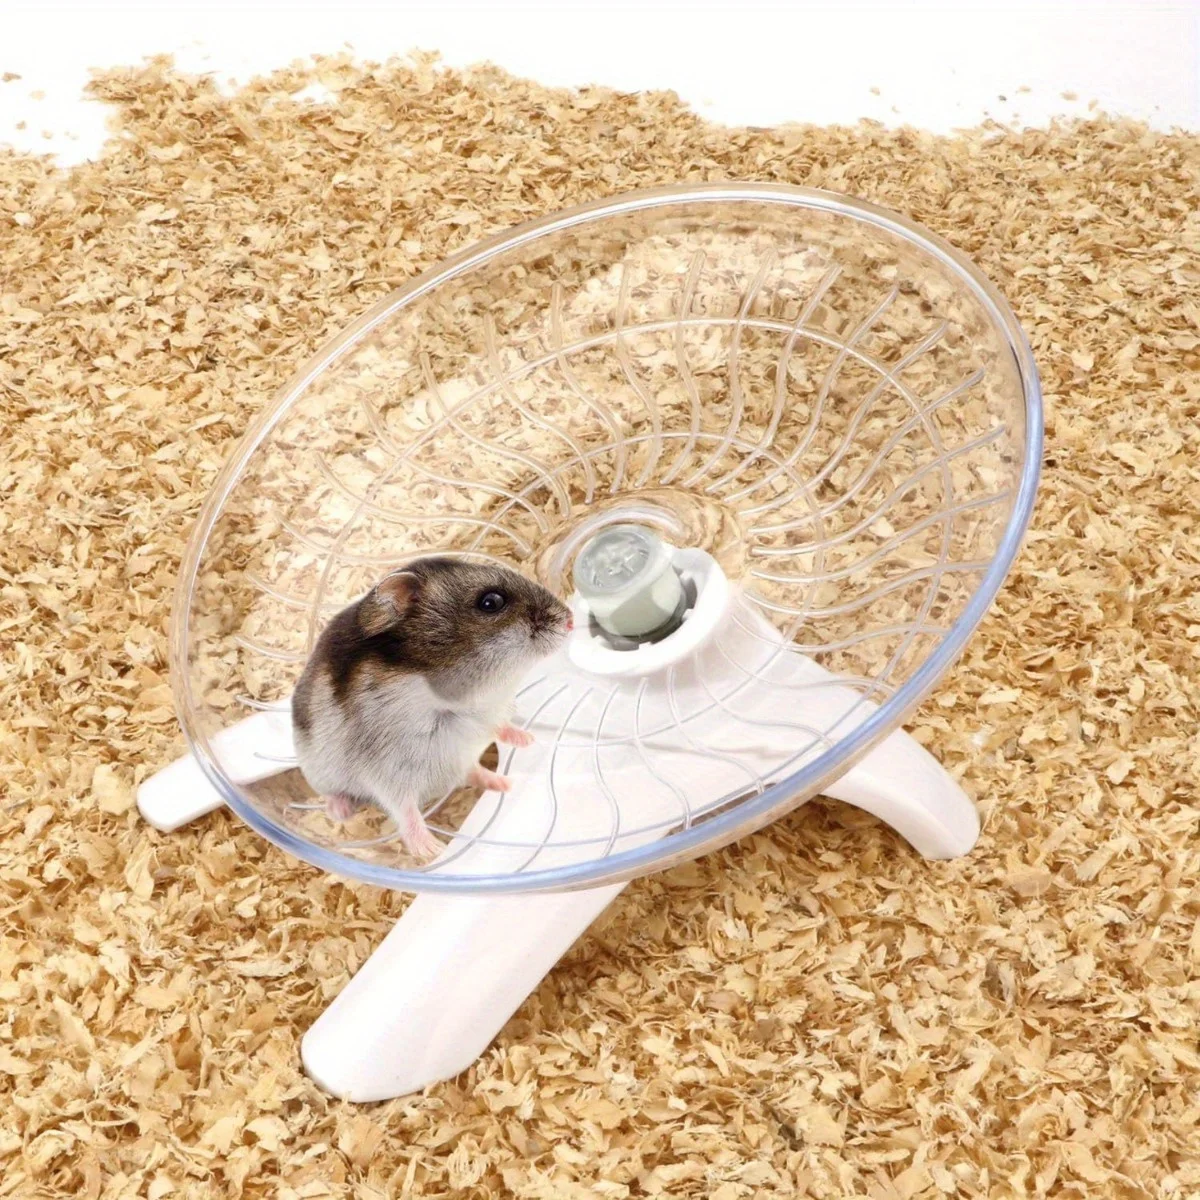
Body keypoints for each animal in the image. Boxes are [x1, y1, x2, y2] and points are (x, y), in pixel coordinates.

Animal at [291, 556, 573, 861]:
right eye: (491, 602)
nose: (571, 620)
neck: (444, 696)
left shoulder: (486, 717)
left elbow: (500, 726)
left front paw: (528, 740)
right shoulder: (386, 772)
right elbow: (405, 810)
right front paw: (431, 851)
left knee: (473, 771)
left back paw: (504, 783)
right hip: (323, 772)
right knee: (337, 792)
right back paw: (340, 812)